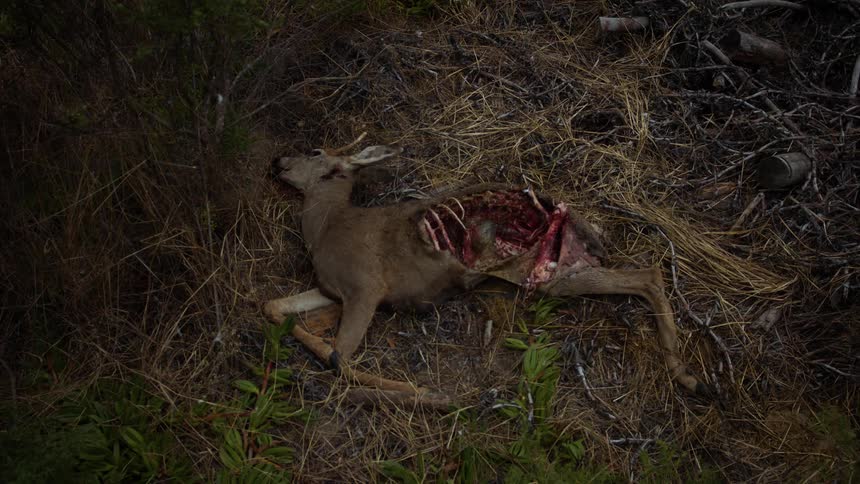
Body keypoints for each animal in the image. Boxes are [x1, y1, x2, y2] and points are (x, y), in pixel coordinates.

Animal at [263, 142, 708, 407]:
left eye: (314, 150)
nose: (276, 160)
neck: (325, 229)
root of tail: (576, 222)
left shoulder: (366, 284)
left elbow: (341, 360)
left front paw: (432, 395)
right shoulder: (331, 289)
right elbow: (274, 308)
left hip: (550, 276)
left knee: (648, 275)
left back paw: (690, 378)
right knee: (646, 275)